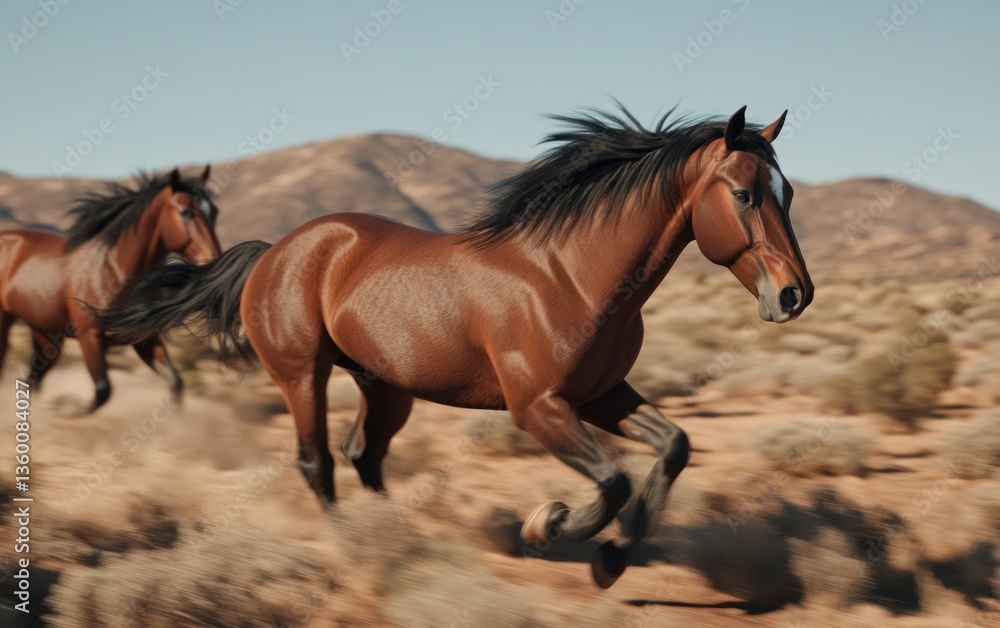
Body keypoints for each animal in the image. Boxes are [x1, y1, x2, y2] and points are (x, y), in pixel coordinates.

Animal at [0, 166, 222, 412]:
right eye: (186, 212)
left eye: (214, 211)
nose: (216, 262)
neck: (113, 271)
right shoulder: (90, 337)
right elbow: (102, 391)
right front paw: (64, 406)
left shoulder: (145, 340)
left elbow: (175, 383)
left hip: (45, 334)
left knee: (33, 379)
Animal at [96, 105, 813, 587]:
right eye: (744, 194)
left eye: (788, 191)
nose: (794, 295)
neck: (570, 274)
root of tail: (276, 251)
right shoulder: (538, 407)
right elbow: (611, 481)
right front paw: (548, 525)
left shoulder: (602, 394)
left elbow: (674, 447)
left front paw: (611, 558)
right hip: (303, 376)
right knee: (318, 461)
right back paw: (358, 548)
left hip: (384, 387)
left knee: (363, 455)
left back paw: (396, 539)